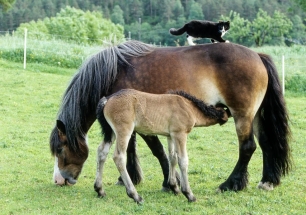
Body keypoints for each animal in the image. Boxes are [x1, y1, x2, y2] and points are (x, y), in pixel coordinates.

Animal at [94, 88, 228, 202]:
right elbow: (183, 160)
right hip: (124, 131)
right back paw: (135, 196)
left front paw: (174, 187)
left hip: (111, 132)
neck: (188, 107)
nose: (228, 117)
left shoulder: (171, 136)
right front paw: (189, 194)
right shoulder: (180, 134)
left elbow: (173, 158)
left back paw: (100, 190)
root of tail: (108, 99)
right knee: (119, 157)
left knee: (101, 152)